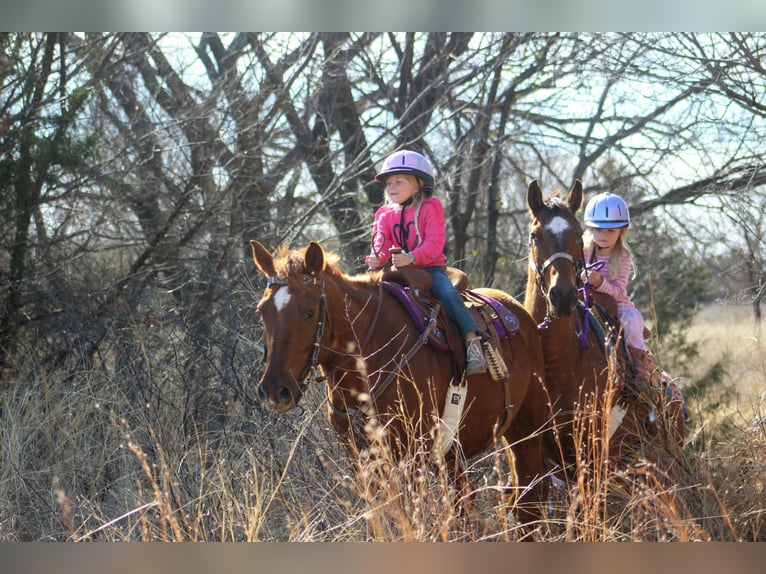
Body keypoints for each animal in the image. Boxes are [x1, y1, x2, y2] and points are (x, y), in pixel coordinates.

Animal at [249, 239, 551, 530]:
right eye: (262, 312)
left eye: (309, 313)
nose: (275, 390)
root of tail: (519, 313)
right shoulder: (362, 458)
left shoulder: (412, 456)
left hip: (527, 432)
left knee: (529, 499)